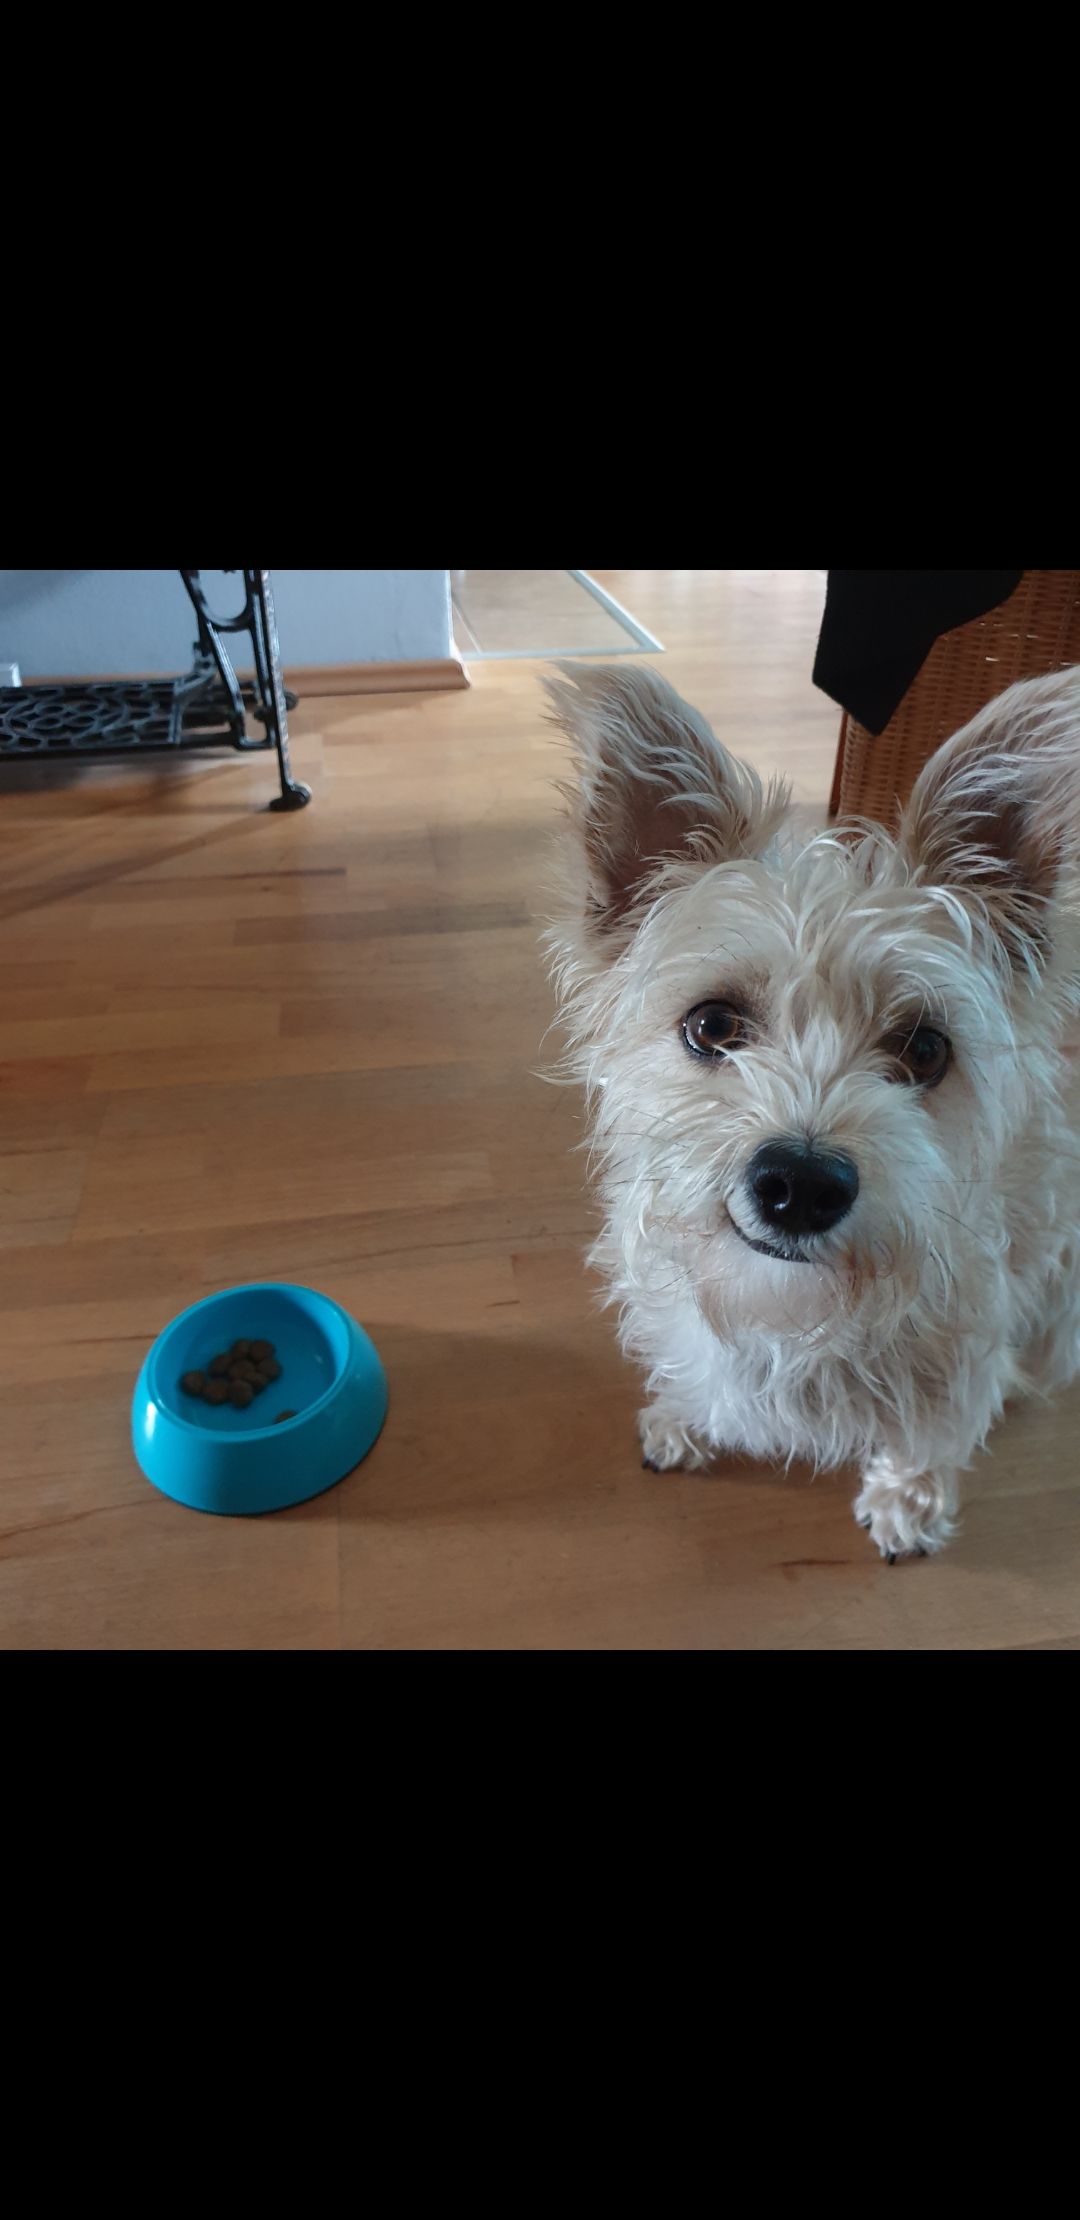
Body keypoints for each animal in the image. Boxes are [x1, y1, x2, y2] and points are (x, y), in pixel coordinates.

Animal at [544, 661, 1080, 1560]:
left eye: (925, 1049)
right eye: (711, 1025)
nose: (800, 1185)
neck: (791, 1313)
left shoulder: (964, 1353)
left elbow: (931, 1436)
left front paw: (908, 1501)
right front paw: (685, 1418)